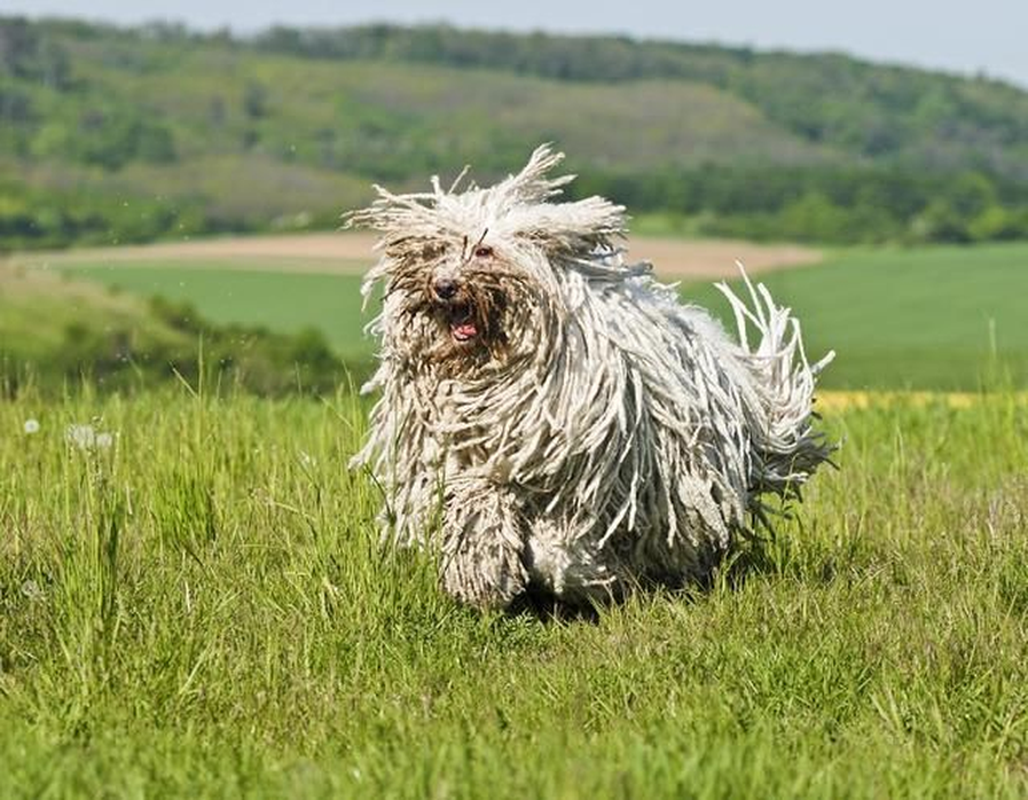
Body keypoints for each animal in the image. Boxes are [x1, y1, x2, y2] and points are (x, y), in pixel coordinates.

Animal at [349, 146, 830, 608]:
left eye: (483, 250)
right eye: (435, 251)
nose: (443, 286)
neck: (494, 371)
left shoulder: (583, 476)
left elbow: (562, 541)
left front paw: (586, 577)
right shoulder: (475, 462)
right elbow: (478, 503)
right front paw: (483, 575)